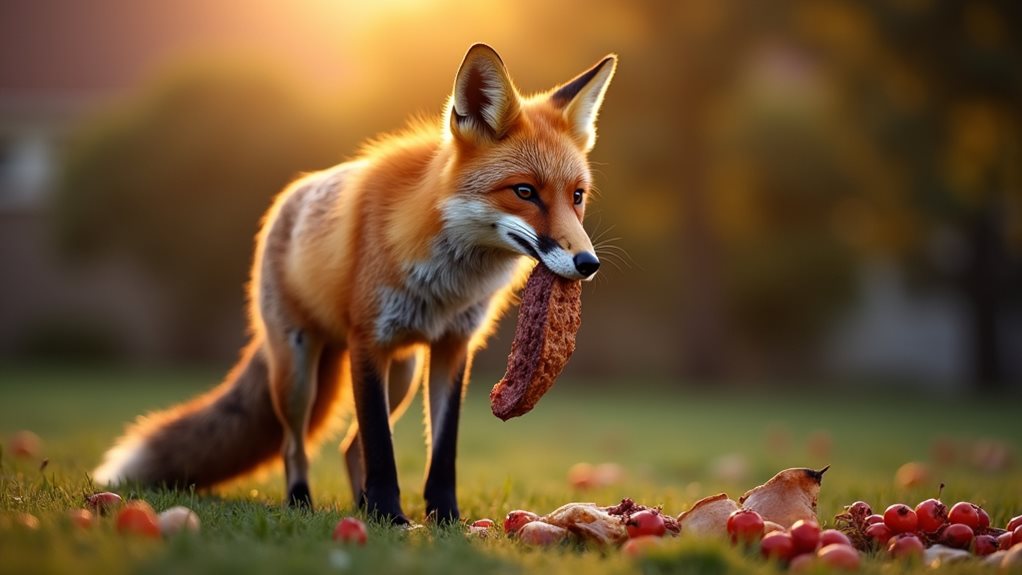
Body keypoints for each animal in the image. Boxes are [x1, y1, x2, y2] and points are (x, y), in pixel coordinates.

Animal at [93, 43, 617, 524]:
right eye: (524, 191)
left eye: (577, 197)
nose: (587, 263)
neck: (447, 282)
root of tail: (287, 199)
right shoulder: (368, 341)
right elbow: (380, 447)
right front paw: (390, 515)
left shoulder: (452, 347)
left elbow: (441, 449)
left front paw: (443, 518)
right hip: (299, 373)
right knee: (296, 446)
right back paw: (303, 503)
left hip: (402, 372)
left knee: (348, 446)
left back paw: (361, 506)